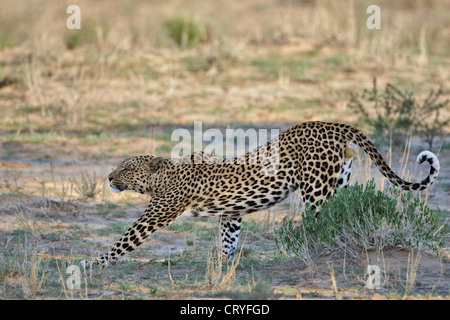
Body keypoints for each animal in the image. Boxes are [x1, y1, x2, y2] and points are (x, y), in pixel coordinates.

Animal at [81, 121, 440, 268]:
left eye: (126, 168)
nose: (109, 177)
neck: (166, 174)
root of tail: (333, 124)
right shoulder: (231, 214)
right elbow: (228, 239)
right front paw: (223, 264)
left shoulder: (156, 214)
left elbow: (122, 241)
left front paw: (91, 263)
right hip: (339, 183)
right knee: (346, 212)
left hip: (316, 190)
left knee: (323, 222)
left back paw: (317, 253)